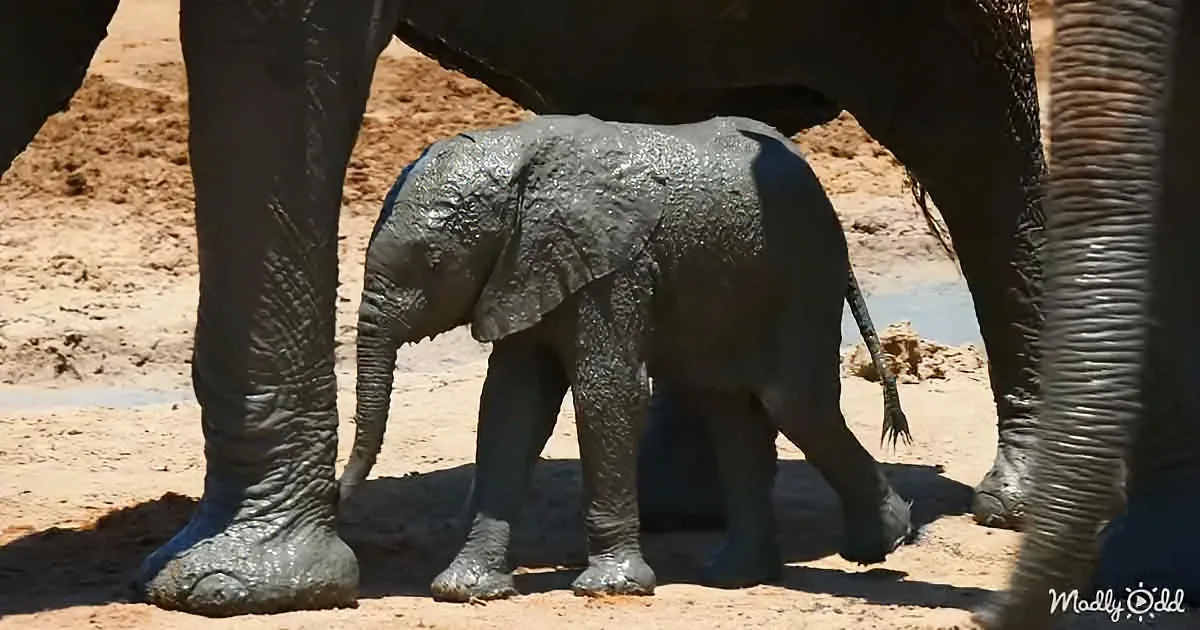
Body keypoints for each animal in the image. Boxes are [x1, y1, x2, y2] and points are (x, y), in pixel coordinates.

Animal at [337, 114, 915, 601]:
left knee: (793, 404)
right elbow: (511, 406)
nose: (339, 495)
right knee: (732, 412)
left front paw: (609, 588)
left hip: (803, 269)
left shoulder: (615, 269)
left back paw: (882, 540)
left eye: (433, 263)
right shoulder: (522, 269)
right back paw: (735, 575)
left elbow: (607, 392)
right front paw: (464, 590)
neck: (524, 165)